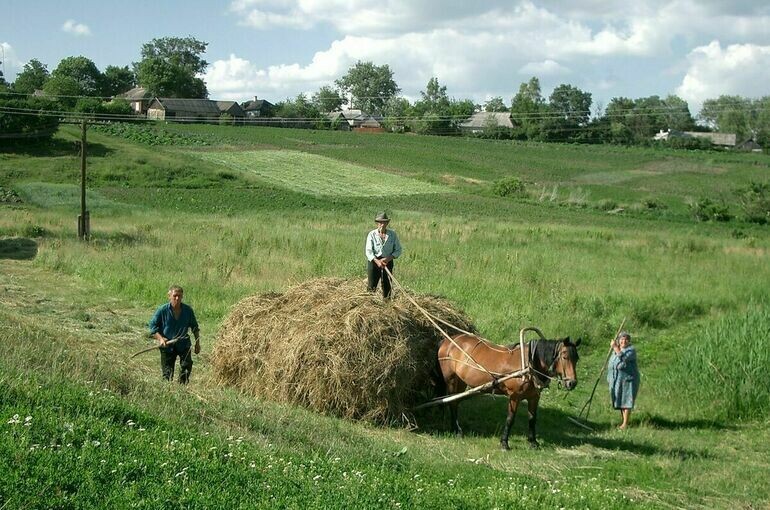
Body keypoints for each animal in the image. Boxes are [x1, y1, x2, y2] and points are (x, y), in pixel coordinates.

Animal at [438, 334, 576, 450]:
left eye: (577, 359)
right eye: (565, 357)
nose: (572, 383)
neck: (528, 365)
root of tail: (448, 340)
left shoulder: (534, 396)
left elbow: (532, 418)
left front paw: (533, 442)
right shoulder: (514, 396)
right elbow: (510, 418)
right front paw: (504, 443)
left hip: (461, 381)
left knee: (455, 401)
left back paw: (454, 428)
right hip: (451, 379)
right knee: (451, 402)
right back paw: (457, 430)